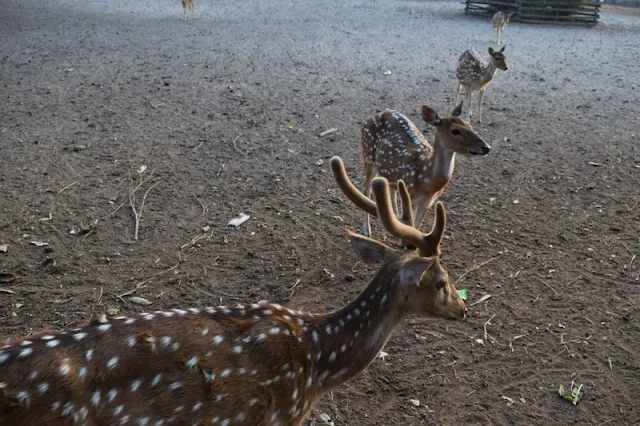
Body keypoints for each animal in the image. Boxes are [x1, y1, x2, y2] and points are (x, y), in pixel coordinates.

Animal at [358, 102, 488, 238]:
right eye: (455, 131)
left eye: (469, 125)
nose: (486, 147)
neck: (427, 178)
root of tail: (377, 114)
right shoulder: (410, 196)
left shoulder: (427, 203)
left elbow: (416, 227)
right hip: (368, 155)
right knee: (366, 189)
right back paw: (367, 230)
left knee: (390, 190)